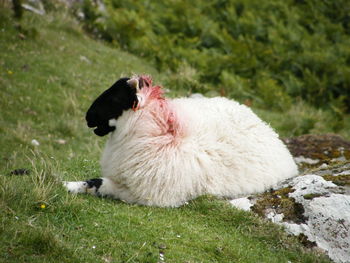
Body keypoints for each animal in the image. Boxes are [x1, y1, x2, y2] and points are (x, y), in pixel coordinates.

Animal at [63, 76, 298, 208]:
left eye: (115, 98)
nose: (88, 117)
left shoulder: (145, 194)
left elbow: (98, 183)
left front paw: (68, 186)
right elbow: (93, 182)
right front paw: (68, 185)